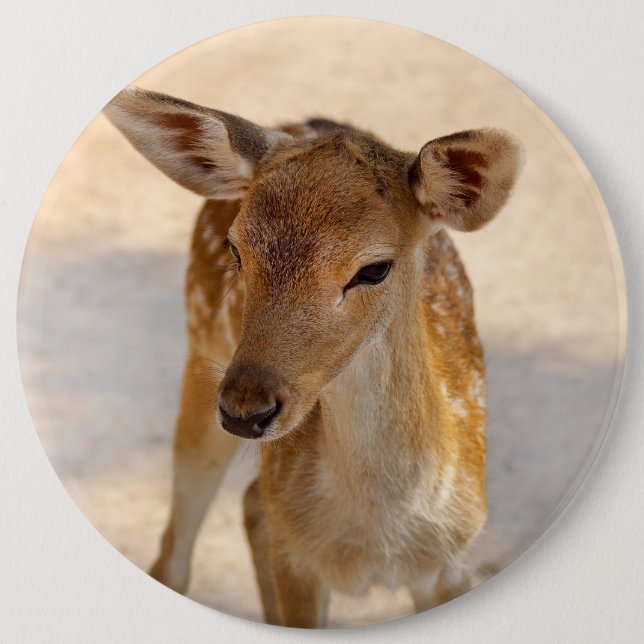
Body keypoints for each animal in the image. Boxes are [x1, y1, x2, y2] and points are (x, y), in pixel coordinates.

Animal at [104, 87, 522, 628]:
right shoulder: (297, 562)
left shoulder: (452, 561)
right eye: (235, 250)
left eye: (375, 268)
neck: (376, 541)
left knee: (250, 503)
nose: (245, 410)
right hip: (200, 353)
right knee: (175, 553)